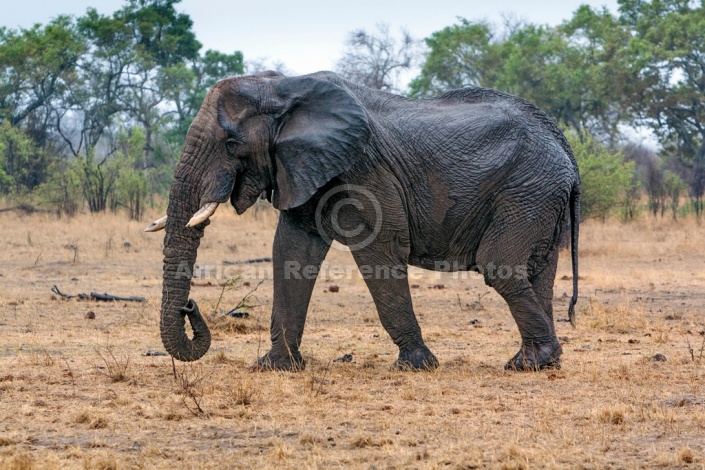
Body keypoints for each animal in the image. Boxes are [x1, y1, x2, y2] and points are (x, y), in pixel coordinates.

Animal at [146, 69, 580, 370]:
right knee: (536, 270)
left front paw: (417, 366)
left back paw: (534, 361)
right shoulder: (304, 168)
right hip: (540, 195)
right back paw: (532, 362)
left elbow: (380, 250)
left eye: (231, 144)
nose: (189, 307)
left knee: (500, 267)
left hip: (527, 190)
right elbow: (291, 250)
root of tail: (566, 149)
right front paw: (275, 367)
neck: (285, 87)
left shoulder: (364, 170)